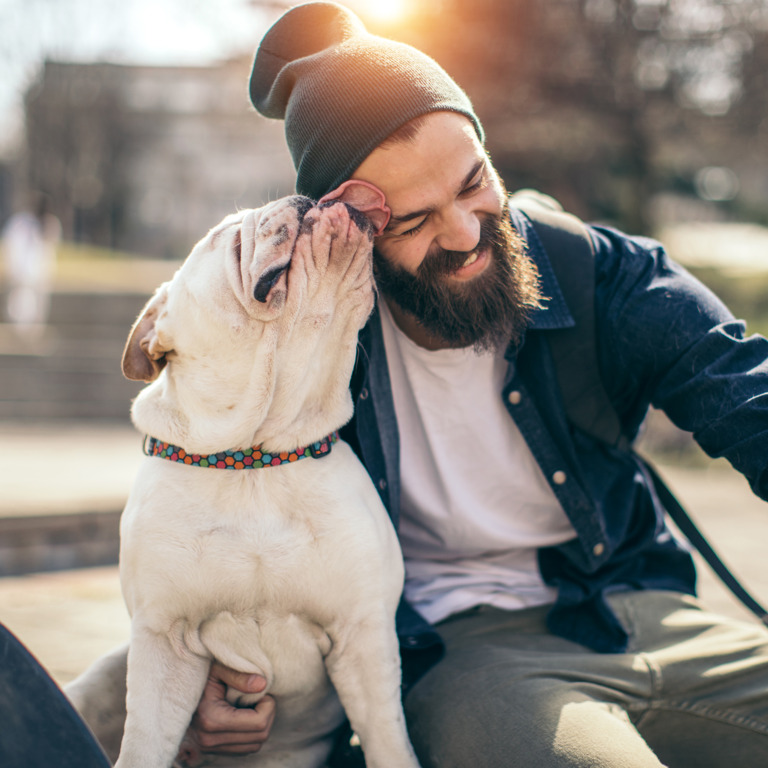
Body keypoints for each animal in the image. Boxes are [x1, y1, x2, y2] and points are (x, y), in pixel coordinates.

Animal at [112, 196, 420, 768]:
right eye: (229, 233)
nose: (304, 199)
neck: (253, 460)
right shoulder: (163, 641)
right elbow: (141, 744)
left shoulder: (364, 639)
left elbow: (390, 744)